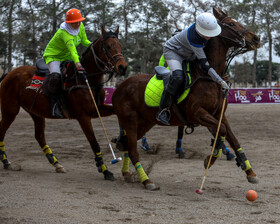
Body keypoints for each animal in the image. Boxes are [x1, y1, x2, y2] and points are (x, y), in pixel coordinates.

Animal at [0, 26, 127, 181]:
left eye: (120, 45)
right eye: (108, 46)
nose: (122, 67)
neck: (86, 79)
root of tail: (9, 73)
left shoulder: (98, 108)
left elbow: (118, 113)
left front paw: (120, 140)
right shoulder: (83, 116)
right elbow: (94, 143)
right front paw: (104, 170)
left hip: (35, 112)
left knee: (39, 136)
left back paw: (56, 164)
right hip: (10, 110)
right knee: (2, 131)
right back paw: (6, 161)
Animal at [111, 8, 260, 191]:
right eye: (231, 24)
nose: (256, 38)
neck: (208, 77)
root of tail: (120, 86)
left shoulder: (219, 115)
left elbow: (233, 138)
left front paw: (249, 171)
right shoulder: (197, 113)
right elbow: (222, 132)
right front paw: (210, 158)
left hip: (145, 122)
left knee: (126, 144)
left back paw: (127, 174)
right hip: (130, 120)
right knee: (132, 150)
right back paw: (147, 181)